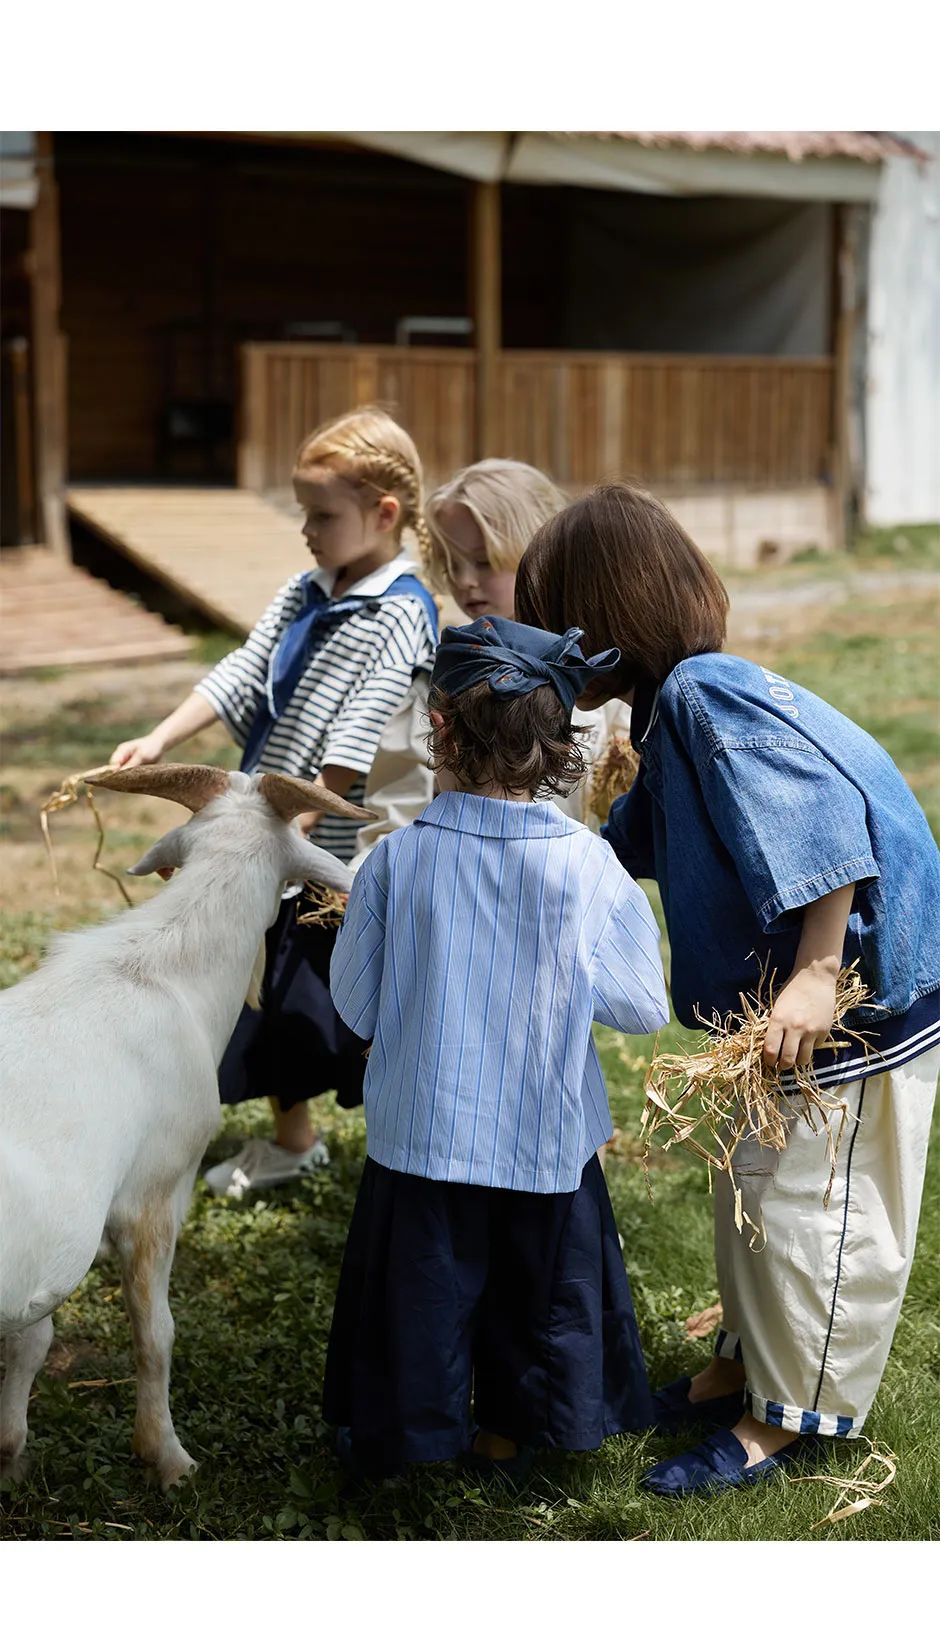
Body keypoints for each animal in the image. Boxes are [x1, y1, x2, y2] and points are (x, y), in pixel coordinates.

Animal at [0, 763, 367, 1487]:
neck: (161, 972)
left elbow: (33, 1343)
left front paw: (9, 1453)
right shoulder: (155, 1192)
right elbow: (156, 1334)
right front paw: (167, 1457)